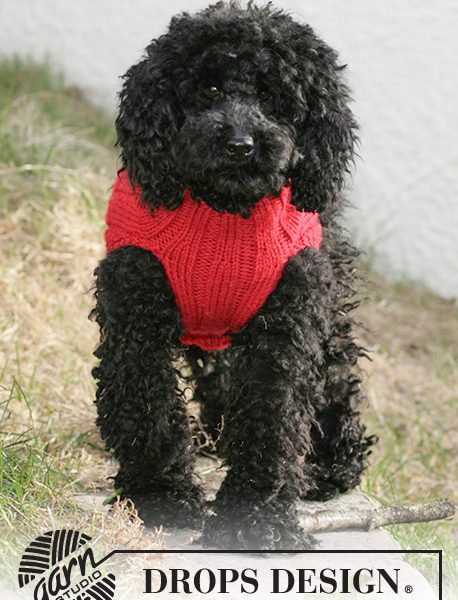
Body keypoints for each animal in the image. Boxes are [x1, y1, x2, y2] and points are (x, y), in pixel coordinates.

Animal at [90, 1, 375, 549]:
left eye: (273, 97)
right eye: (210, 89)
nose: (241, 145)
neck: (225, 211)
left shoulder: (288, 325)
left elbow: (273, 418)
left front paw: (256, 520)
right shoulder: (134, 307)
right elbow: (148, 407)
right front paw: (159, 498)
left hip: (328, 317)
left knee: (337, 381)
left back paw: (331, 467)